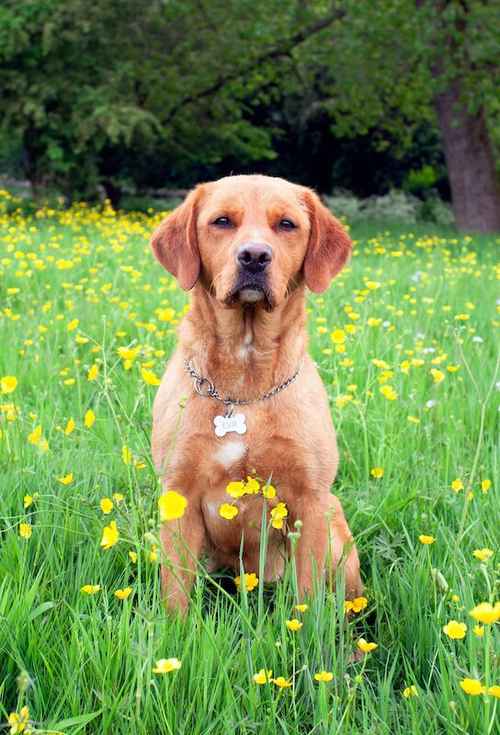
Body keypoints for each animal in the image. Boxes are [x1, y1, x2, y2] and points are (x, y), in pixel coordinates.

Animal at [150, 175, 362, 612]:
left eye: (286, 224)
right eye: (221, 221)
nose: (254, 256)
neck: (244, 387)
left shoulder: (310, 500)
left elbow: (309, 602)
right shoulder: (178, 493)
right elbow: (176, 596)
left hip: (338, 538)